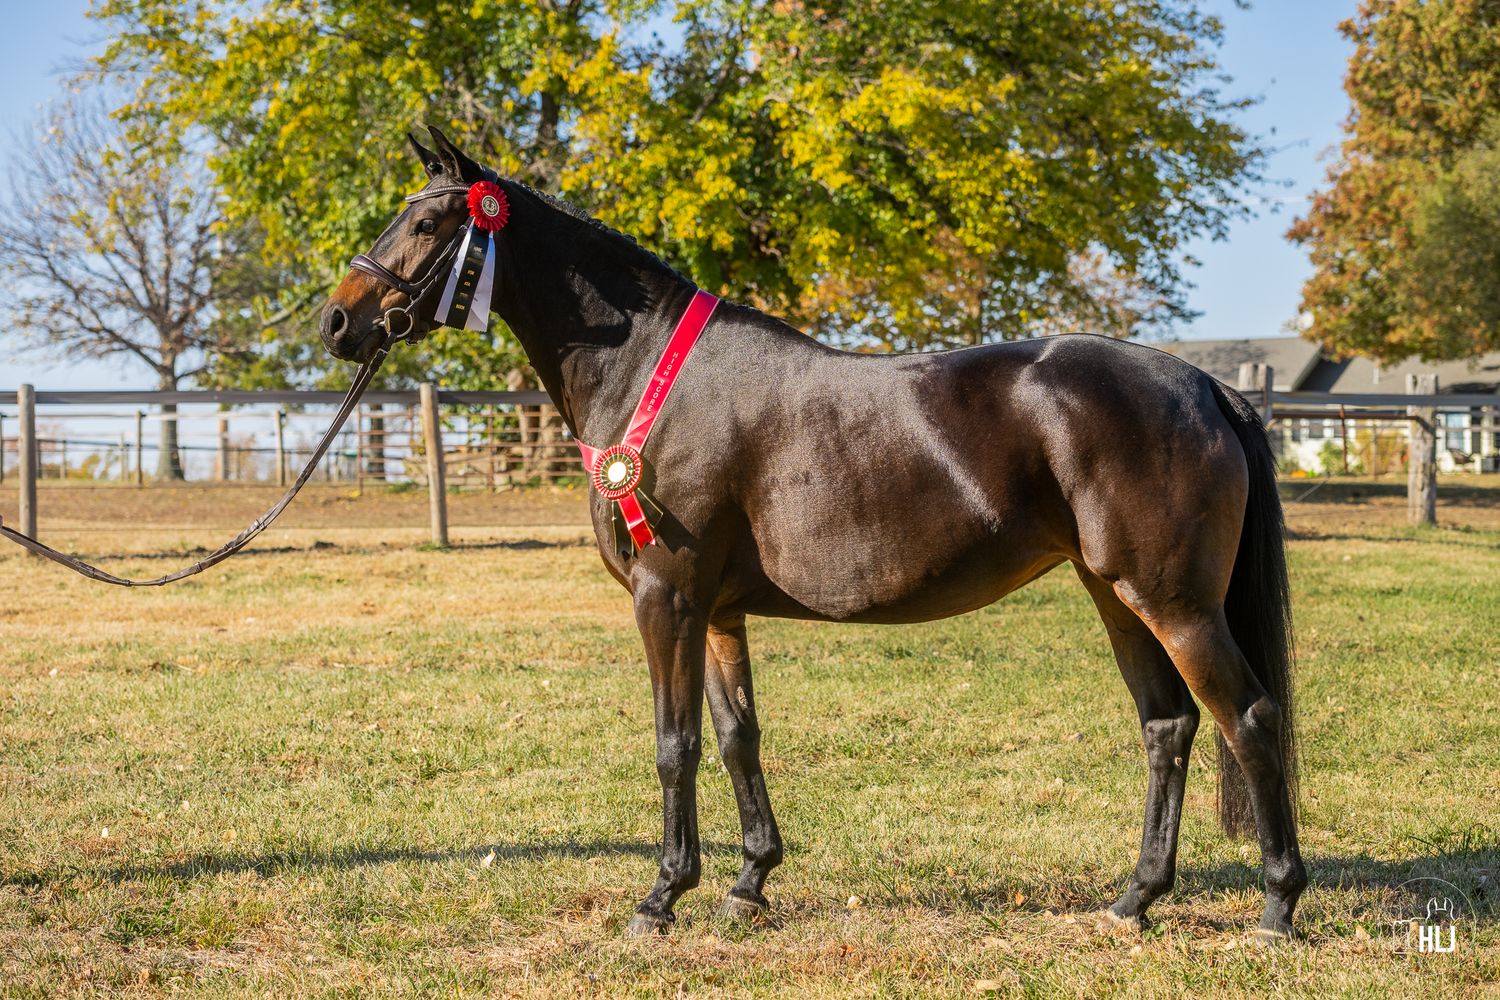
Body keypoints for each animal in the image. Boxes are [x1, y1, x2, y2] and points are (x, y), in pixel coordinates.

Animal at [320, 127, 1306, 940]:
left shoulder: (665, 597)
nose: (339, 320)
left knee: (1249, 719)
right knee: (1169, 727)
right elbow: (735, 737)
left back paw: (1276, 906)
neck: (646, 372)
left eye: (428, 222)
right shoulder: (716, 612)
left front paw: (662, 897)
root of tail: (1204, 386)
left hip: (1174, 603)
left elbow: (674, 745)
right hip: (1116, 596)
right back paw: (1135, 898)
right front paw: (747, 884)